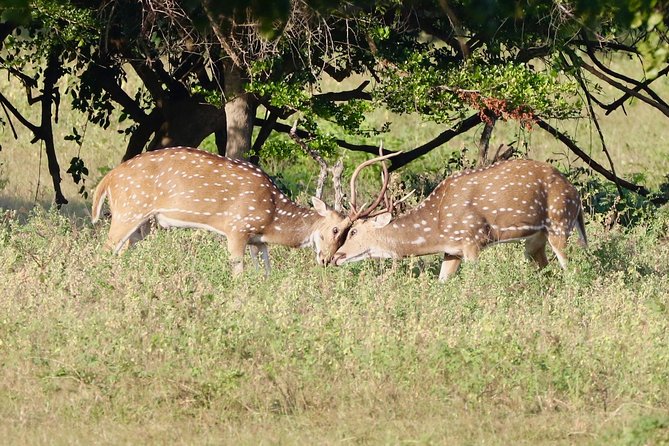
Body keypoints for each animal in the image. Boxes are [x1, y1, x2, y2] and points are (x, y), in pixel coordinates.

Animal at [88, 145, 392, 276]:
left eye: (350, 233)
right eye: (336, 229)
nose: (327, 260)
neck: (272, 215)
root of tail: (108, 179)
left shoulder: (258, 240)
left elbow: (265, 272)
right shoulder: (237, 228)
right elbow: (239, 271)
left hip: (144, 224)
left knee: (122, 252)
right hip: (128, 210)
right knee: (104, 250)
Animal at [332, 159, 584, 280]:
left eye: (353, 231)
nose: (335, 257)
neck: (437, 226)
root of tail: (576, 193)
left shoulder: (472, 239)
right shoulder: (452, 250)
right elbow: (442, 282)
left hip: (559, 222)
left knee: (570, 268)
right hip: (535, 240)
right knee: (545, 266)